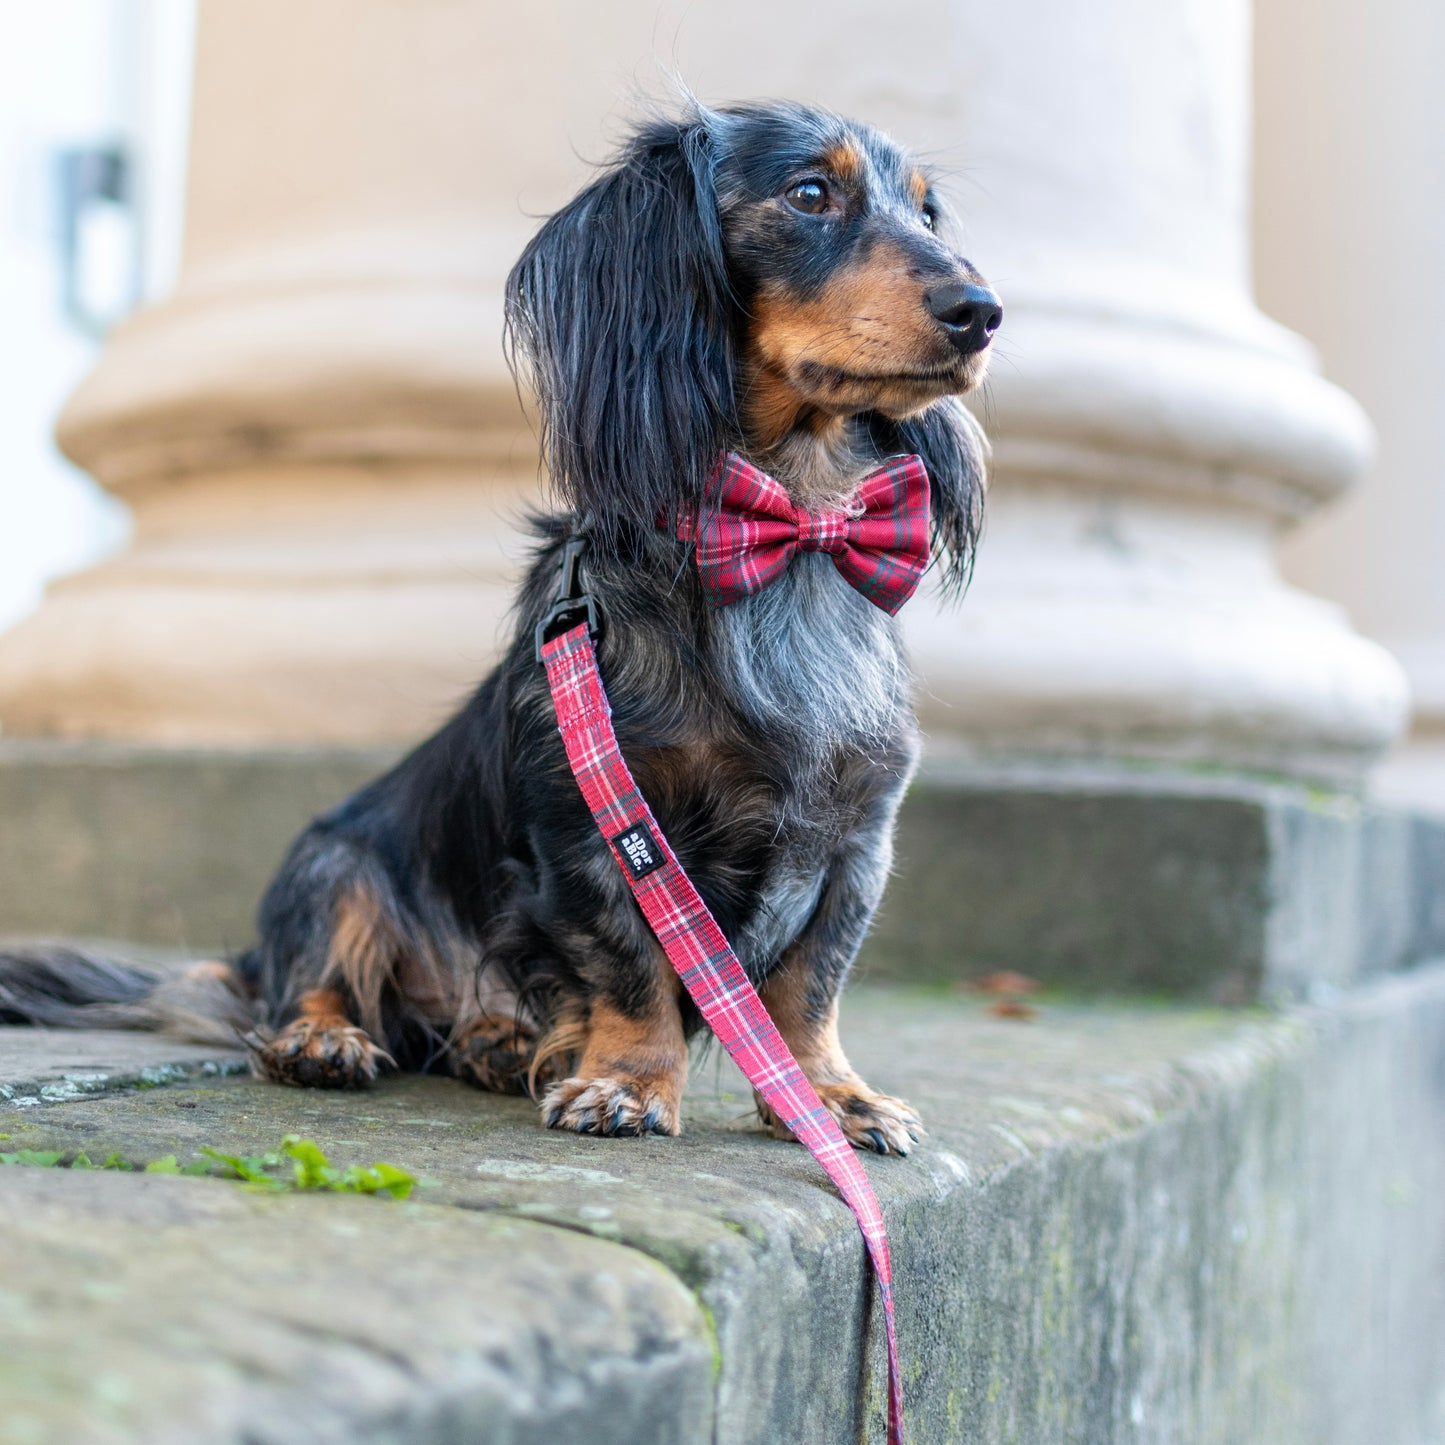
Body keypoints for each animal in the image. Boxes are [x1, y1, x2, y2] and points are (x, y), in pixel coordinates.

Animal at [0, 98, 994, 1150]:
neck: (791, 527)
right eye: (809, 193)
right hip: (335, 861)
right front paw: (628, 1084)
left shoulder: (855, 837)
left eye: (928, 213)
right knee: (310, 982)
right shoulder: (593, 826)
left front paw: (830, 1096)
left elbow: (810, 985)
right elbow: (631, 965)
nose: (981, 310)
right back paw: (326, 1040)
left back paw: (497, 1041)